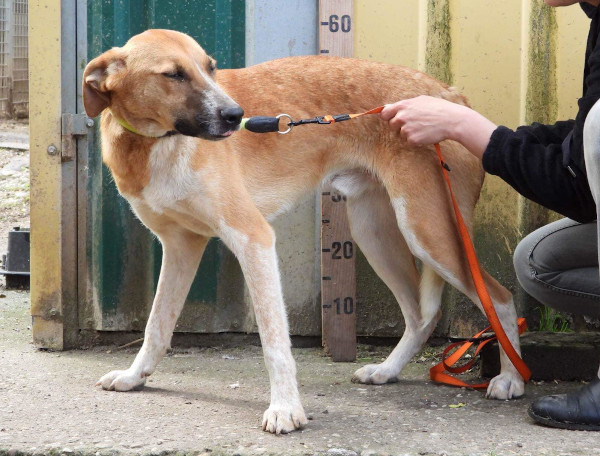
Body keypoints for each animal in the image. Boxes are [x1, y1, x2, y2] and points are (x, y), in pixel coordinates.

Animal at [83, 29, 524, 434]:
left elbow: (274, 342)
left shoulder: (253, 238)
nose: (235, 116)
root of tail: (451, 95)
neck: (156, 143)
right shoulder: (180, 246)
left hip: (429, 233)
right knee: (420, 314)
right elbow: (157, 324)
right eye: (173, 74)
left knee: (500, 299)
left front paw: (285, 409)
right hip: (375, 233)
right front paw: (135, 376)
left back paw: (511, 378)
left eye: (210, 68)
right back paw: (387, 369)